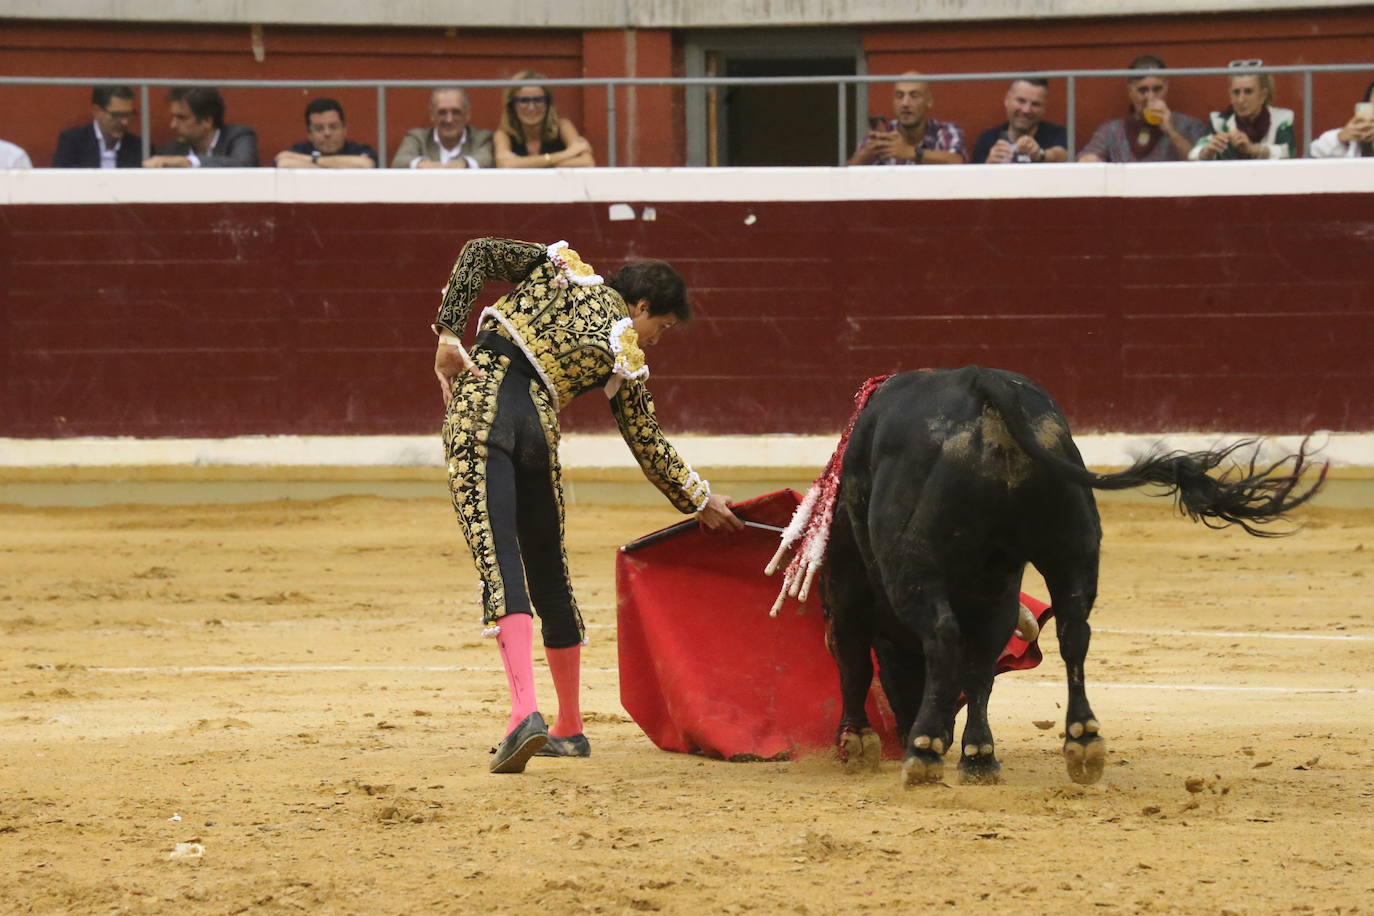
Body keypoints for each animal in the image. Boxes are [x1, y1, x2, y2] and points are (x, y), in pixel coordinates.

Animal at [818, 365, 1324, 791]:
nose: (908, 728)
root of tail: (982, 382)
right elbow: (979, 668)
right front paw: (976, 755)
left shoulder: (848, 587)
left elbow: (855, 658)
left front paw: (858, 743)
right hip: (1070, 549)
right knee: (1071, 633)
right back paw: (1077, 742)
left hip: (917, 565)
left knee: (945, 636)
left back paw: (925, 755)